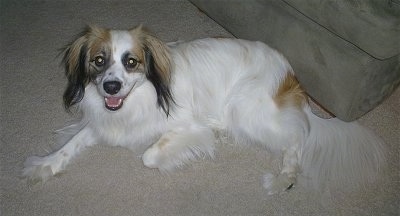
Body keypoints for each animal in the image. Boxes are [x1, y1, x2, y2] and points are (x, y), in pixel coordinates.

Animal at [21, 25, 384, 194]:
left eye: (131, 62)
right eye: (99, 61)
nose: (110, 86)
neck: (141, 96)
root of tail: (291, 77)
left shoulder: (185, 127)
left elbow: (150, 155)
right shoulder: (103, 122)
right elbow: (71, 144)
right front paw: (46, 165)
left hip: (246, 110)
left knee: (297, 139)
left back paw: (284, 179)